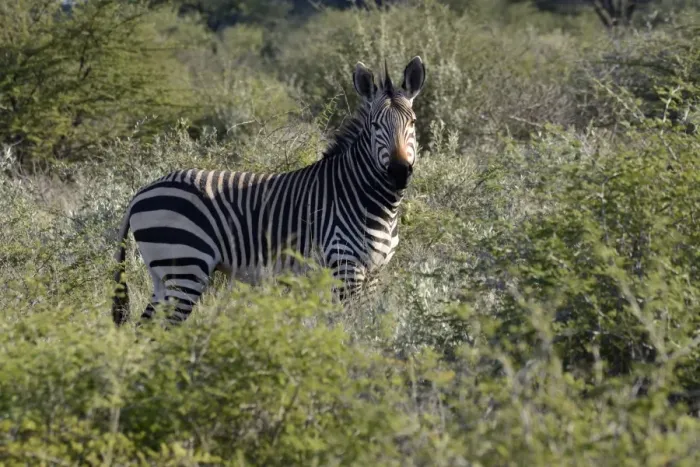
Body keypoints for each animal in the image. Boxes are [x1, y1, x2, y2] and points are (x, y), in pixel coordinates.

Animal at [112, 56, 426, 325]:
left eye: (412, 122)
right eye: (375, 126)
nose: (399, 172)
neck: (371, 200)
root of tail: (141, 192)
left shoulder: (374, 272)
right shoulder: (345, 266)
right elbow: (351, 326)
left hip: (163, 276)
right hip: (184, 267)